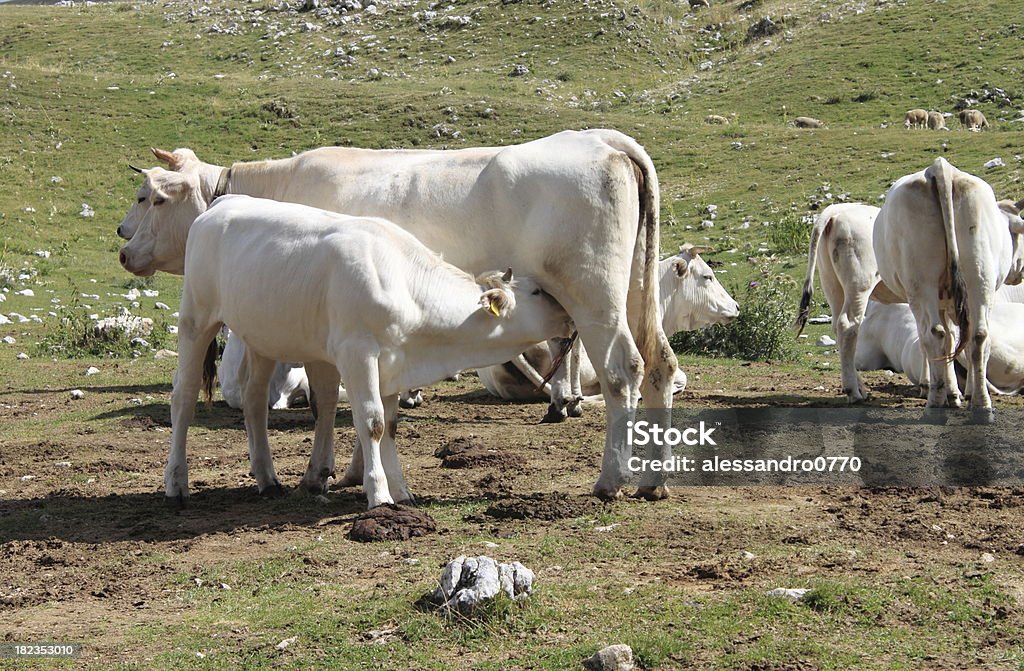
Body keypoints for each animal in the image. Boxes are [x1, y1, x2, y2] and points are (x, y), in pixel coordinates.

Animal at [123, 194, 573, 510]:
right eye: (537, 292)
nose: (570, 316)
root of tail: (222, 203)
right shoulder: (359, 355)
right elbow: (371, 423)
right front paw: (380, 496)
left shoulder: (394, 363)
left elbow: (390, 426)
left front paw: (403, 491)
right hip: (196, 319)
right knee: (182, 398)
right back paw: (176, 483)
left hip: (262, 335)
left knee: (253, 402)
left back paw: (267, 479)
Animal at [872, 158, 1024, 409]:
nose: (1019, 271)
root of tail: (940, 168)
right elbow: (956, 341)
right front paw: (960, 393)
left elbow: (949, 341)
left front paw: (952, 393)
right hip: (979, 278)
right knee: (978, 335)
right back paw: (980, 401)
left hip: (922, 285)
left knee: (935, 335)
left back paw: (936, 399)